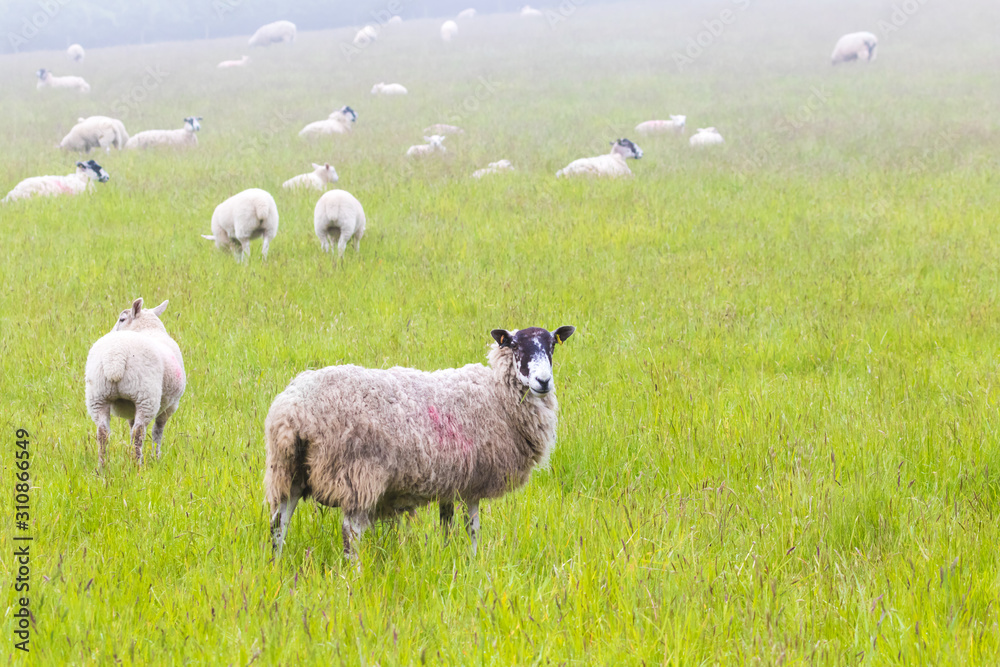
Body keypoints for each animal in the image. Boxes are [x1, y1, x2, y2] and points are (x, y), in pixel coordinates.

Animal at [85, 298, 185, 468]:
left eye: (121, 319)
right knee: (139, 432)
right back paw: (137, 465)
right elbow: (157, 431)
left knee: (103, 433)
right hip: (146, 397)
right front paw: (156, 457)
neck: (148, 328)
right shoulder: (171, 406)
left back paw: (103, 466)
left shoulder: (131, 407)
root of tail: (115, 356)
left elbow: (132, 427)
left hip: (97, 396)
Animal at [264, 325, 576, 559]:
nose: (543, 381)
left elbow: (447, 524)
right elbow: (473, 527)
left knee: (278, 523)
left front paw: (450, 557)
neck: (496, 394)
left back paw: (276, 565)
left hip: (288, 469)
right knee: (350, 534)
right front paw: (475, 562)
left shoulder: (452, 479)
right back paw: (354, 575)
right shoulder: (474, 480)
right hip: (356, 474)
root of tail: (293, 412)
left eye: (552, 346)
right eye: (516, 347)